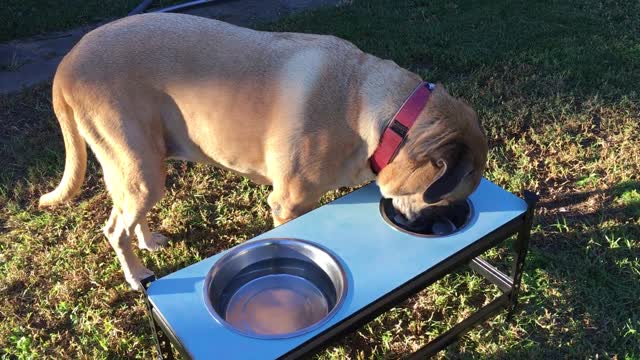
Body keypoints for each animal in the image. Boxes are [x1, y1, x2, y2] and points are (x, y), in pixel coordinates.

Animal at [40, 12, 488, 292]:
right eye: (445, 199)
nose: (443, 226)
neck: (381, 114)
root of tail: (66, 62)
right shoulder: (288, 204)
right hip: (139, 168)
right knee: (115, 228)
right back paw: (136, 275)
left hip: (145, 165)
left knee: (129, 216)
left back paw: (148, 241)